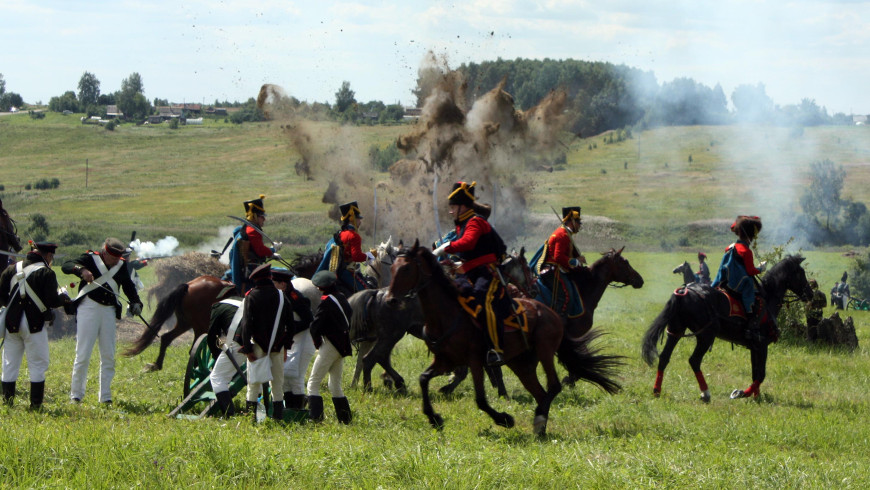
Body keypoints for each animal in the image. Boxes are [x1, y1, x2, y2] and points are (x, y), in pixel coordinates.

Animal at [386, 241, 620, 436]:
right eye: (393, 268)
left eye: (406, 268)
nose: (390, 300)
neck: (447, 314)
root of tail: (550, 313)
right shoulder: (445, 360)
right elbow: (423, 379)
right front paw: (434, 417)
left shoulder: (474, 360)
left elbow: (480, 399)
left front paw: (504, 419)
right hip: (521, 363)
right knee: (540, 392)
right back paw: (540, 425)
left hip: (544, 351)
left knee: (553, 386)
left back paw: (539, 421)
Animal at [640, 255, 816, 400]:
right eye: (800, 273)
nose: (810, 294)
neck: (767, 299)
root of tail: (684, 291)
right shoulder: (762, 344)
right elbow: (761, 374)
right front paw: (742, 393)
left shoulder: (754, 347)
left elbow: (755, 373)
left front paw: (756, 396)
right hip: (706, 336)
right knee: (694, 360)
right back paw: (705, 393)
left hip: (675, 332)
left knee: (664, 357)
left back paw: (657, 390)